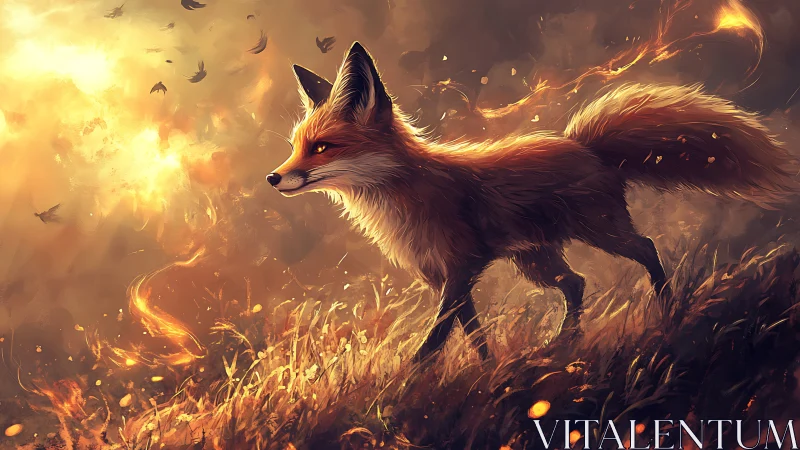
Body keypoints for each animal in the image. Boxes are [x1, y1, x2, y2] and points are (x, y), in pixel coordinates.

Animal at [267, 41, 796, 362]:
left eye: (322, 147)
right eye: (296, 145)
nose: (273, 177)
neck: (402, 197)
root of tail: (584, 145)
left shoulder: (462, 267)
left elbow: (435, 340)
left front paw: (404, 388)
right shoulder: (445, 275)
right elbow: (471, 333)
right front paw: (488, 373)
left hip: (598, 232)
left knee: (645, 248)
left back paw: (668, 312)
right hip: (536, 259)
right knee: (577, 283)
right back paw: (564, 343)